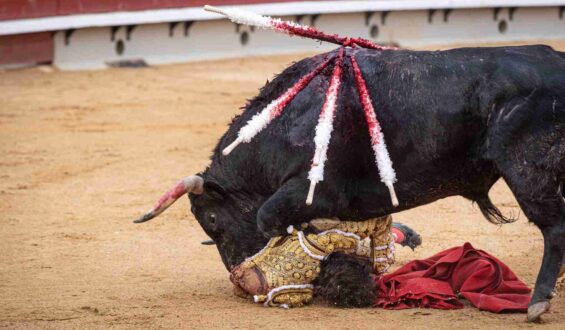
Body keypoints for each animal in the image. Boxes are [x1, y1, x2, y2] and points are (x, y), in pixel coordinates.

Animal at [137, 44, 564, 320]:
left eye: (212, 220)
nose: (241, 281)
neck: (284, 124)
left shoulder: (311, 186)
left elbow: (267, 217)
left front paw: (321, 230)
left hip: (528, 169)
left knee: (554, 228)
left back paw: (538, 303)